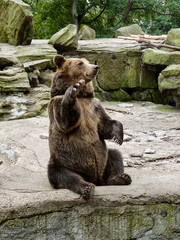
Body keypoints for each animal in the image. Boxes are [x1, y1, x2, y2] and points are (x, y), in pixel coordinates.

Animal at [47, 55, 131, 200]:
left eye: (87, 61)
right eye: (80, 63)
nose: (96, 67)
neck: (82, 96)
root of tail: (96, 179)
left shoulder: (94, 106)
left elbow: (104, 125)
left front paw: (118, 136)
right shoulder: (57, 104)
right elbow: (65, 122)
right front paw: (72, 91)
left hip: (104, 160)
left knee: (115, 156)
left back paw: (120, 178)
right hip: (62, 162)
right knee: (65, 176)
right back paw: (86, 188)